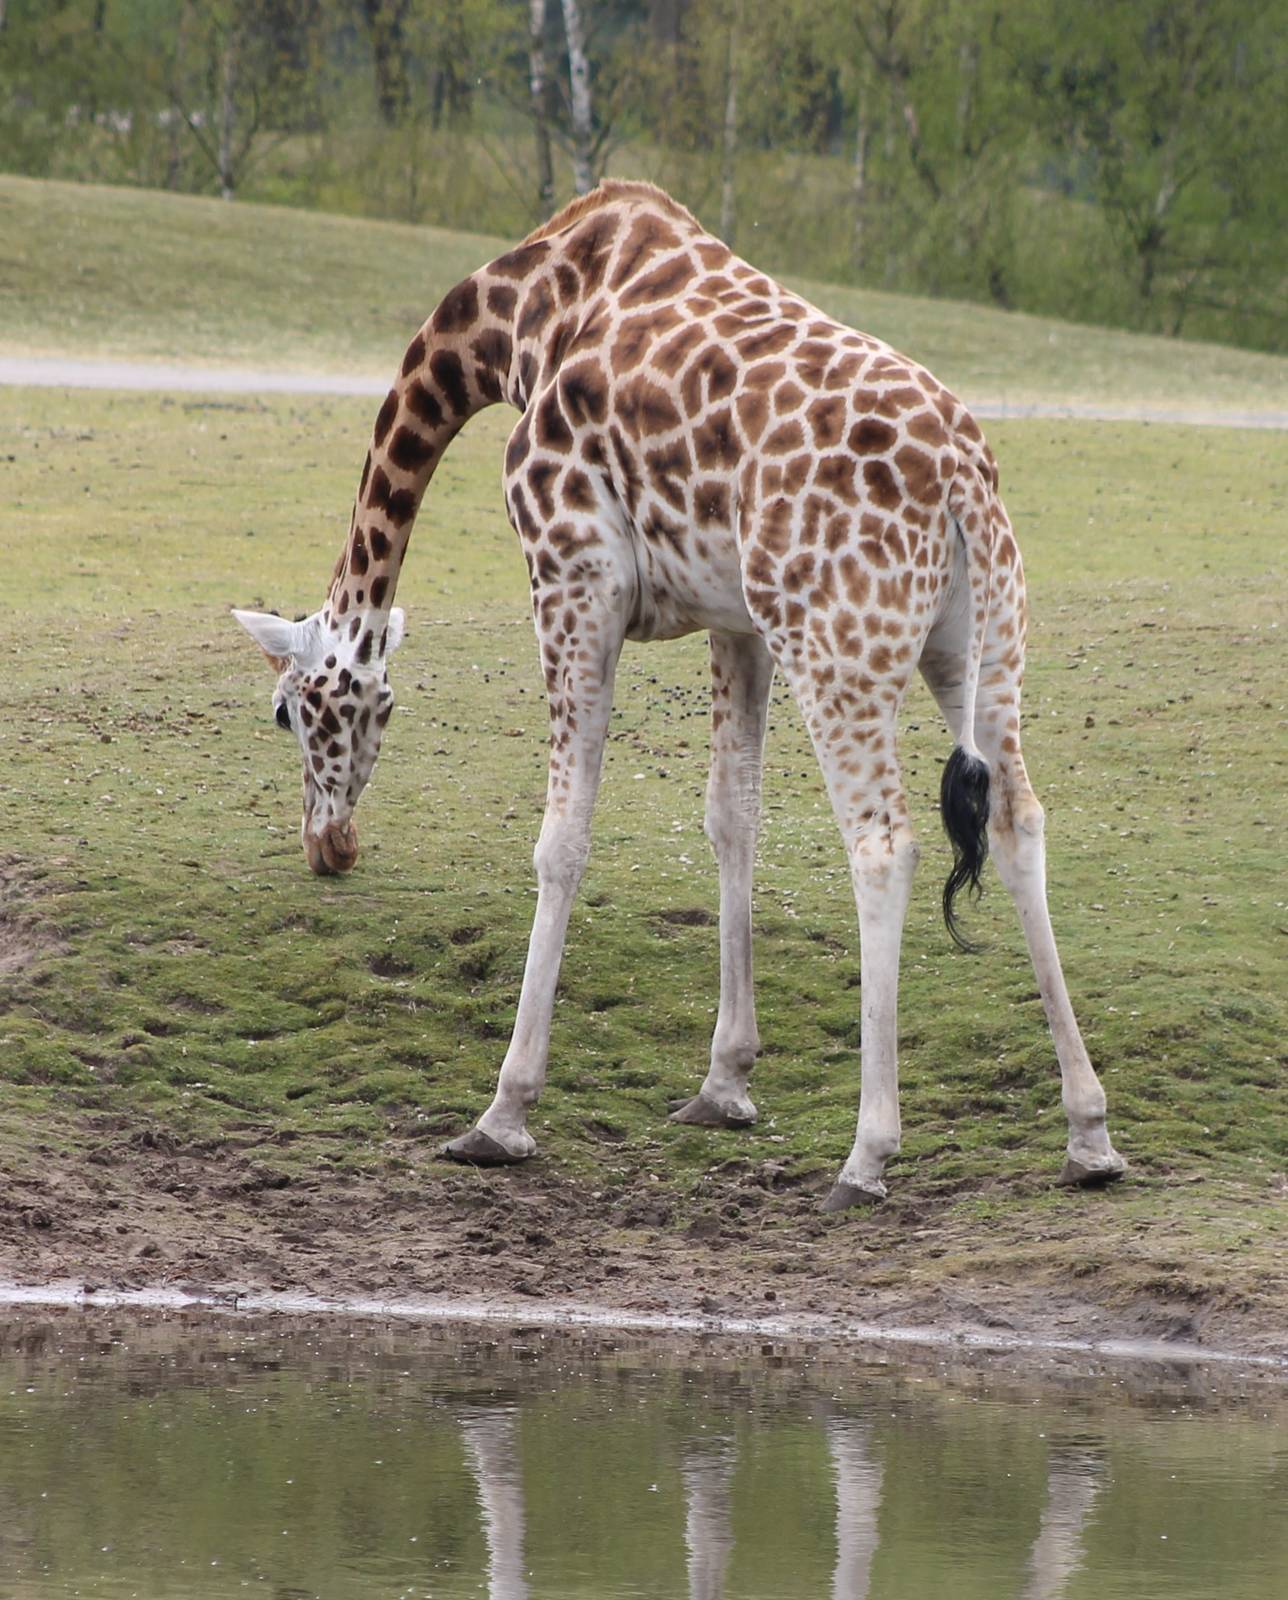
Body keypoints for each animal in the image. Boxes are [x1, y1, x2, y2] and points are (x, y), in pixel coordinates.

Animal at [233, 180, 1125, 1209]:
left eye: (288, 712)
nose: (328, 845)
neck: (517, 320)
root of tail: (960, 479)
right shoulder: (736, 620)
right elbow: (731, 815)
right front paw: (725, 1084)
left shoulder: (573, 575)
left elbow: (562, 840)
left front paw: (502, 1114)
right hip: (977, 649)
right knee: (1019, 821)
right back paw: (1089, 1134)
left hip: (838, 647)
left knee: (884, 845)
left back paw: (867, 1156)